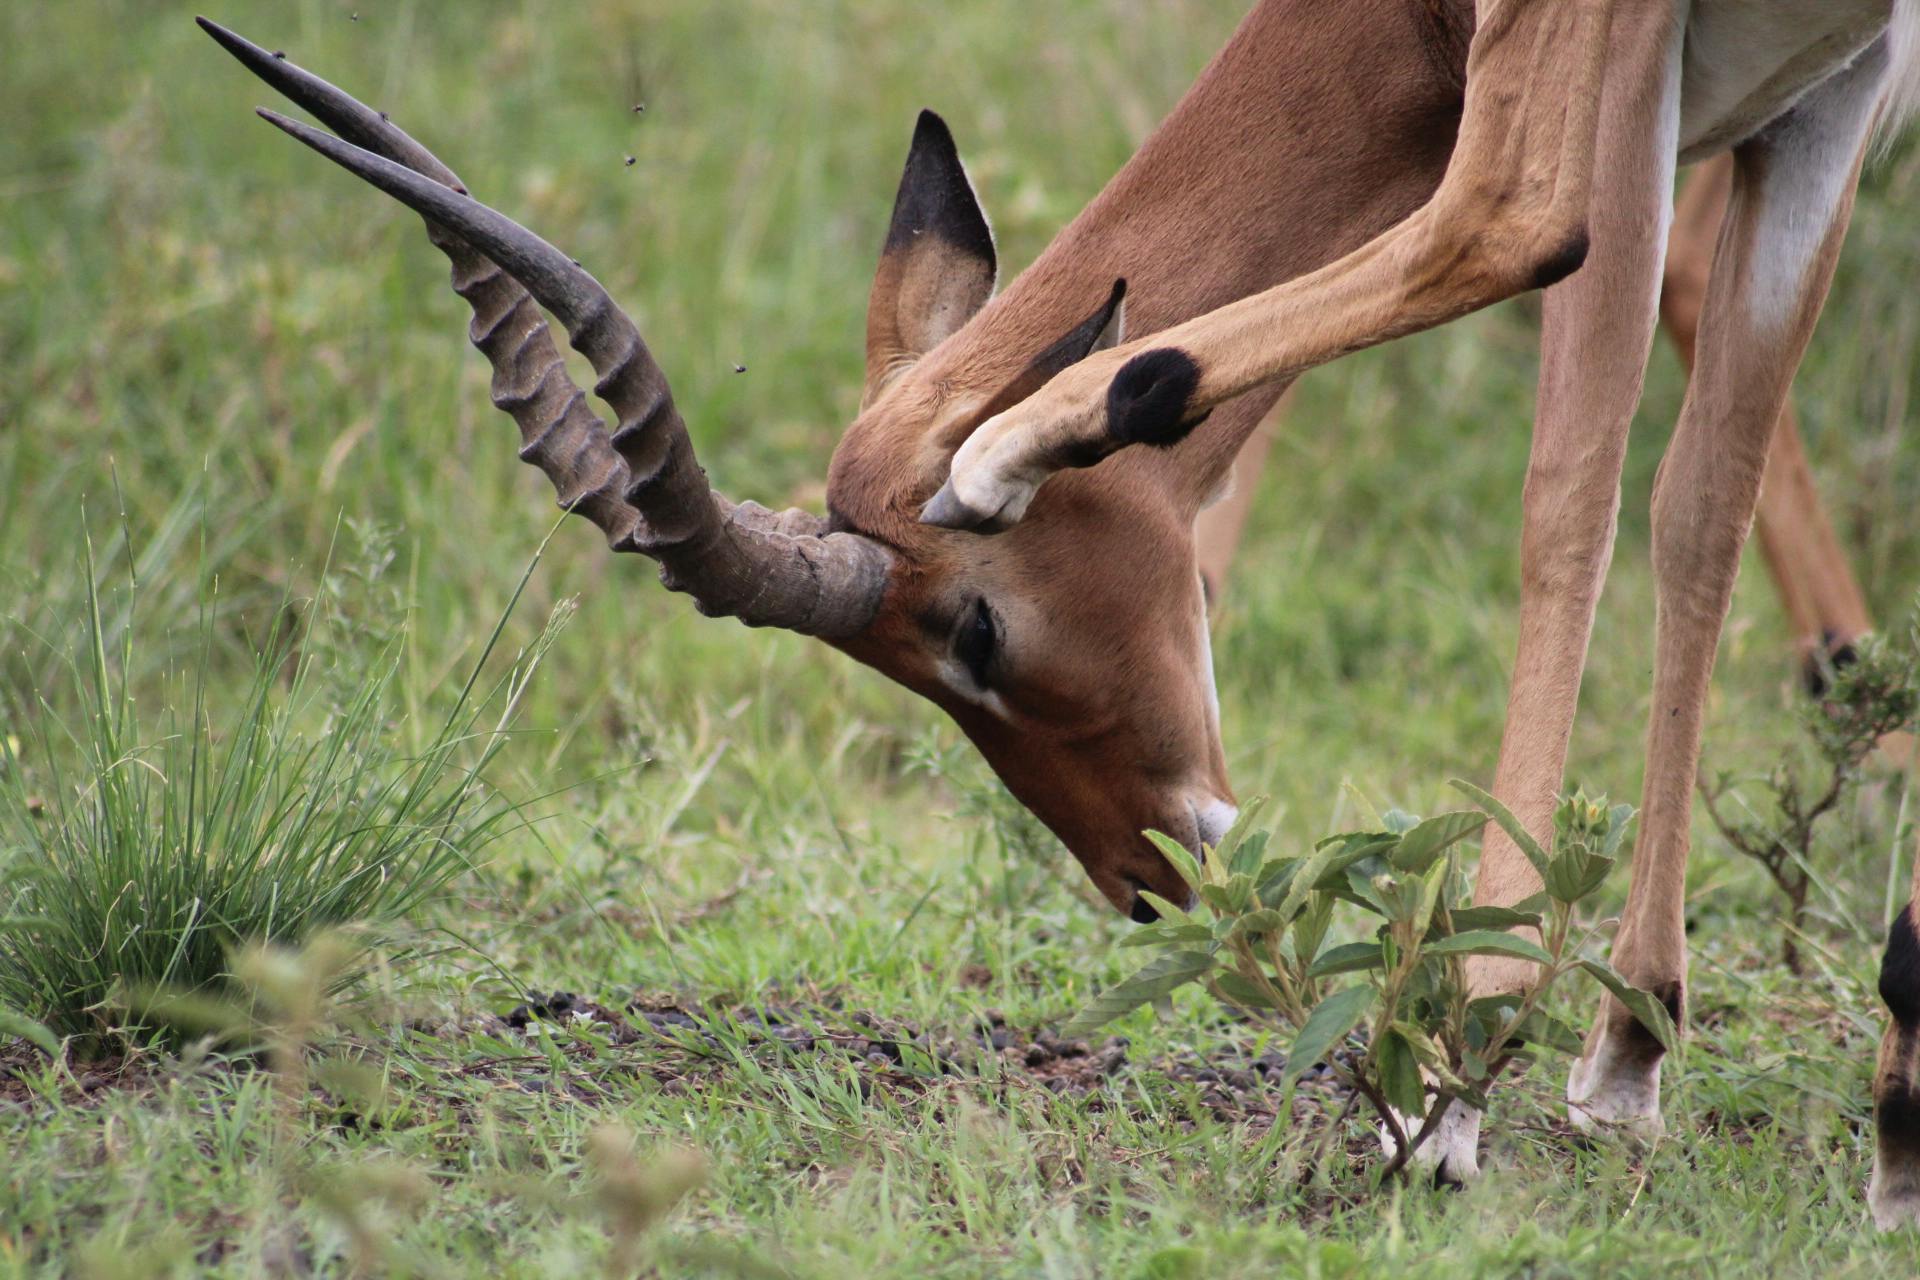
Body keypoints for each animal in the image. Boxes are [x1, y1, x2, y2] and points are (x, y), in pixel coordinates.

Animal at [206, 0, 1920, 1228]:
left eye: (972, 633)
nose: (1150, 876)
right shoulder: (1830, 73)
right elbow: (1699, 493)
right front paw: (1636, 1052)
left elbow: (1569, 466)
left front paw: (1460, 1086)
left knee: (1508, 219)